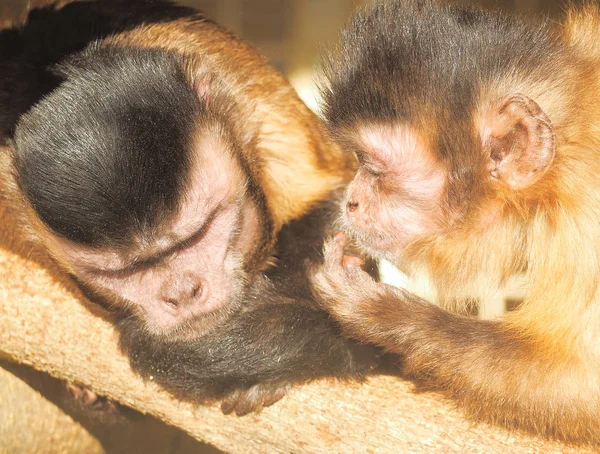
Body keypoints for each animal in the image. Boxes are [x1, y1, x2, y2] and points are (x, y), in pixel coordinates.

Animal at [316, 0, 600, 446]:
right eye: (358, 162)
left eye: (374, 169)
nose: (351, 199)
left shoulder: (588, 211)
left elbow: (584, 383)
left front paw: (383, 312)